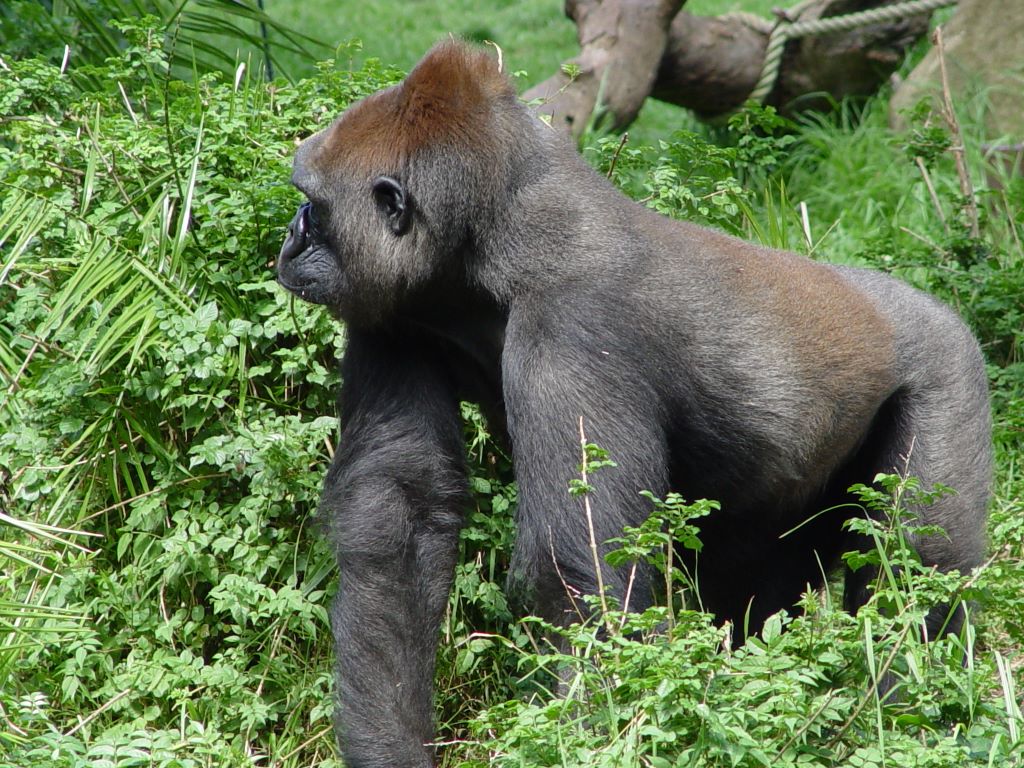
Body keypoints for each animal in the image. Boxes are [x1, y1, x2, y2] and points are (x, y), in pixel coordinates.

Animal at [276, 41, 991, 768]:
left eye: (313, 205)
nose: (291, 237)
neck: (494, 234)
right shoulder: (394, 308)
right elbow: (399, 514)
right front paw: (389, 745)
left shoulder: (572, 324)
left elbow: (580, 573)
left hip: (948, 365)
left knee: (918, 567)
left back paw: (911, 715)